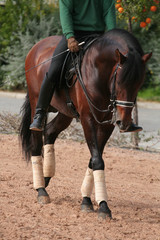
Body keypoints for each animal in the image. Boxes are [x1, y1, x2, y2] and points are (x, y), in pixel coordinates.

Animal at [19, 28, 151, 219]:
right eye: (119, 81)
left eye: (139, 83)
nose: (125, 123)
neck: (99, 71)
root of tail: (36, 47)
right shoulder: (88, 120)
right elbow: (97, 160)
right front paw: (103, 207)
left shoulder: (107, 124)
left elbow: (94, 159)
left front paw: (87, 200)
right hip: (36, 101)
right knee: (36, 141)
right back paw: (41, 190)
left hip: (65, 112)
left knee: (49, 132)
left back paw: (46, 177)